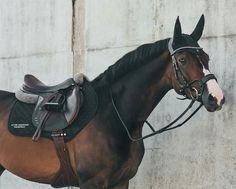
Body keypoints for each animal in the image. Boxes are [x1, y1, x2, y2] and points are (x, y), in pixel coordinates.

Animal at [0, 15, 225, 189]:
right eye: (183, 60)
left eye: (206, 57)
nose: (216, 97)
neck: (112, 117)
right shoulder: (91, 183)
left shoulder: (121, 181)